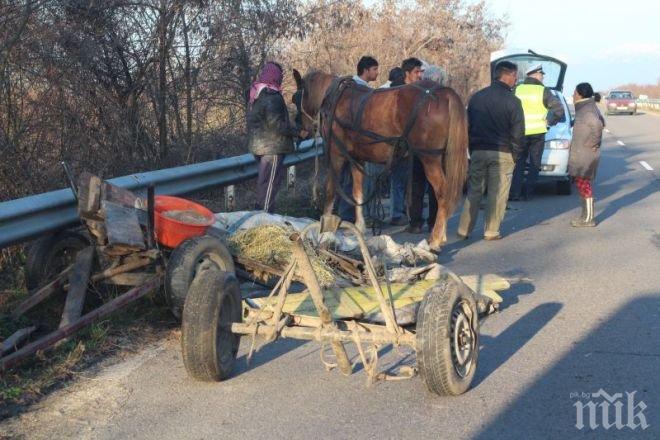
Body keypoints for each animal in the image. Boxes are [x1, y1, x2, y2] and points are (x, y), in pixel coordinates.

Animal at [294, 70, 470, 253]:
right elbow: (358, 192)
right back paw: (441, 236)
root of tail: (444, 93)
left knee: (442, 192)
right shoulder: (356, 159)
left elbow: (330, 192)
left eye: (296, 97)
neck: (336, 99)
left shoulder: (337, 156)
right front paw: (360, 227)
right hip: (441, 157)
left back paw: (435, 240)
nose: (301, 129)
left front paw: (325, 231)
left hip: (429, 158)